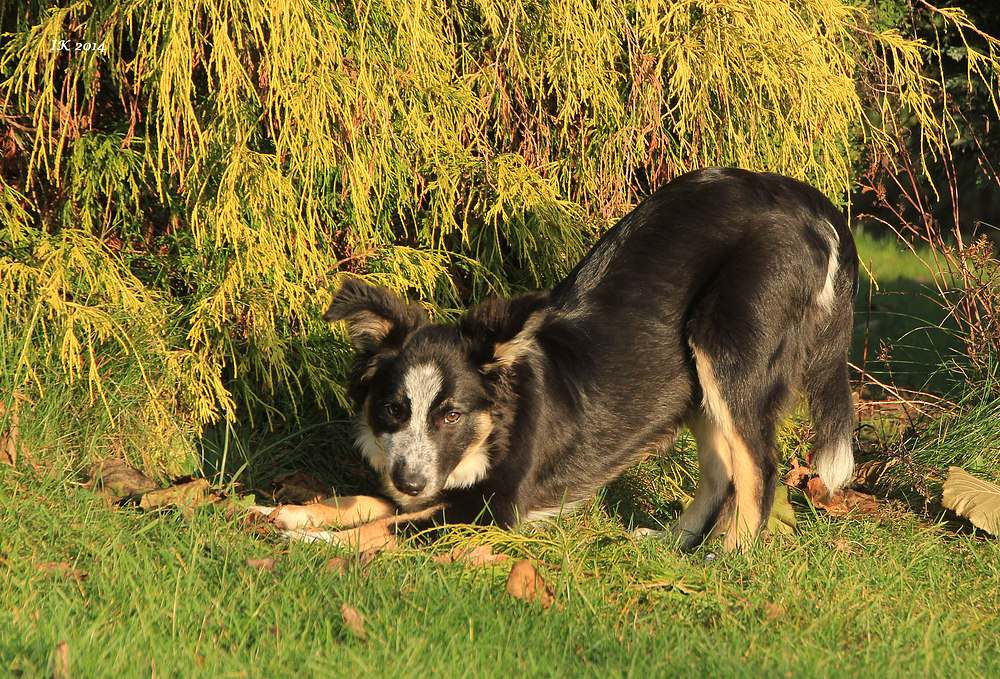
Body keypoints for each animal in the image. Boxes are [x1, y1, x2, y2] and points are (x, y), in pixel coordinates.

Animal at [258, 169, 860, 552]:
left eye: (451, 415)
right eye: (392, 411)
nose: (408, 480)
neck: (494, 430)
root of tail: (811, 201)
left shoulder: (488, 514)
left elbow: (386, 528)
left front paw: (310, 538)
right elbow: (363, 501)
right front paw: (283, 511)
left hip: (728, 351)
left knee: (758, 468)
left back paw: (725, 561)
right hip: (692, 378)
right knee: (721, 471)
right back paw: (670, 545)